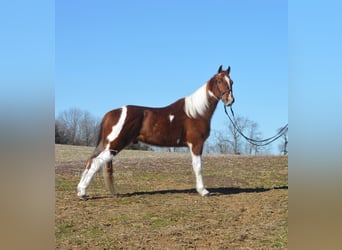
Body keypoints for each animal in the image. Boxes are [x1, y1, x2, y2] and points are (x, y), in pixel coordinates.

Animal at [76, 65, 234, 200]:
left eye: (231, 82)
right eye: (219, 81)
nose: (230, 100)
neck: (196, 112)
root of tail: (112, 112)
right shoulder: (196, 144)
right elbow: (198, 167)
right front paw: (204, 191)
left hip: (108, 145)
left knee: (90, 161)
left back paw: (80, 190)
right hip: (114, 145)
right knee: (96, 162)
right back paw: (83, 193)